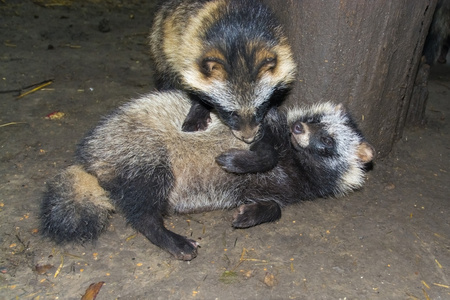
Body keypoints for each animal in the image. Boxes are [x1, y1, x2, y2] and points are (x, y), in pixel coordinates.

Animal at [40, 91, 374, 260]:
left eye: (328, 140)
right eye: (313, 119)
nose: (299, 128)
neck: (297, 158)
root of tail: (91, 158)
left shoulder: (288, 185)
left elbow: (276, 204)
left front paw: (256, 211)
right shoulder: (265, 123)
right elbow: (263, 140)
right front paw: (248, 159)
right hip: (140, 147)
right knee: (145, 200)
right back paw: (162, 232)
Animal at [149, 0, 298, 143]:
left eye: (259, 108)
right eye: (232, 112)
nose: (248, 139)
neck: (240, 39)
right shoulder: (190, 47)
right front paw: (198, 106)